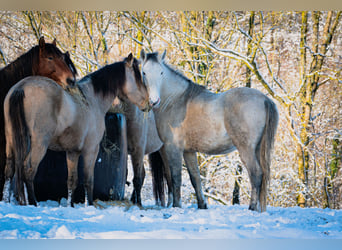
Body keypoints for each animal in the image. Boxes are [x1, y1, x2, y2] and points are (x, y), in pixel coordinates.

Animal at [3, 53, 153, 207]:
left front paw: (71, 205)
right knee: (28, 171)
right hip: (39, 145)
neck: (92, 99)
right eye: (138, 78)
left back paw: (7, 201)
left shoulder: (72, 152)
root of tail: (21, 88)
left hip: (11, 142)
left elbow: (72, 181)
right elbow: (88, 180)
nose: (149, 103)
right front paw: (90, 204)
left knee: (9, 171)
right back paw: (33, 203)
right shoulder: (91, 150)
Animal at [140, 49, 280, 212]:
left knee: (256, 174)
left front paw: (176, 206)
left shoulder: (173, 148)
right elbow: (195, 178)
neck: (175, 101)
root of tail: (264, 99)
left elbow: (175, 178)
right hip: (257, 149)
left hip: (246, 149)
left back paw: (251, 207)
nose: (154, 101)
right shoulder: (188, 151)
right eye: (144, 72)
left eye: (161, 72)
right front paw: (202, 205)